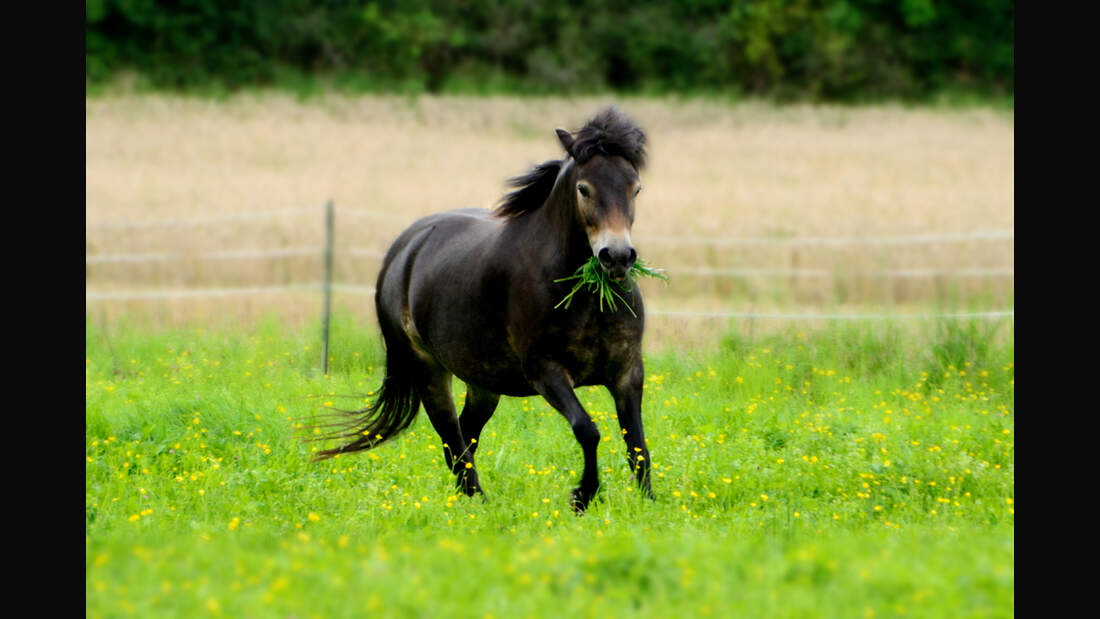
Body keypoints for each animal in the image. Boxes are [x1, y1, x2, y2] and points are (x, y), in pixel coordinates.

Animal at [314, 106, 651, 514]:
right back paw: (479, 503)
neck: (586, 296)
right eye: (584, 188)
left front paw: (650, 504)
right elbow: (588, 430)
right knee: (452, 438)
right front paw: (582, 496)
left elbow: (638, 449)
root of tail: (404, 248)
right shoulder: (546, 372)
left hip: (483, 384)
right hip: (428, 370)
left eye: (635, 188)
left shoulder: (628, 373)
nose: (616, 257)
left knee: (463, 437)